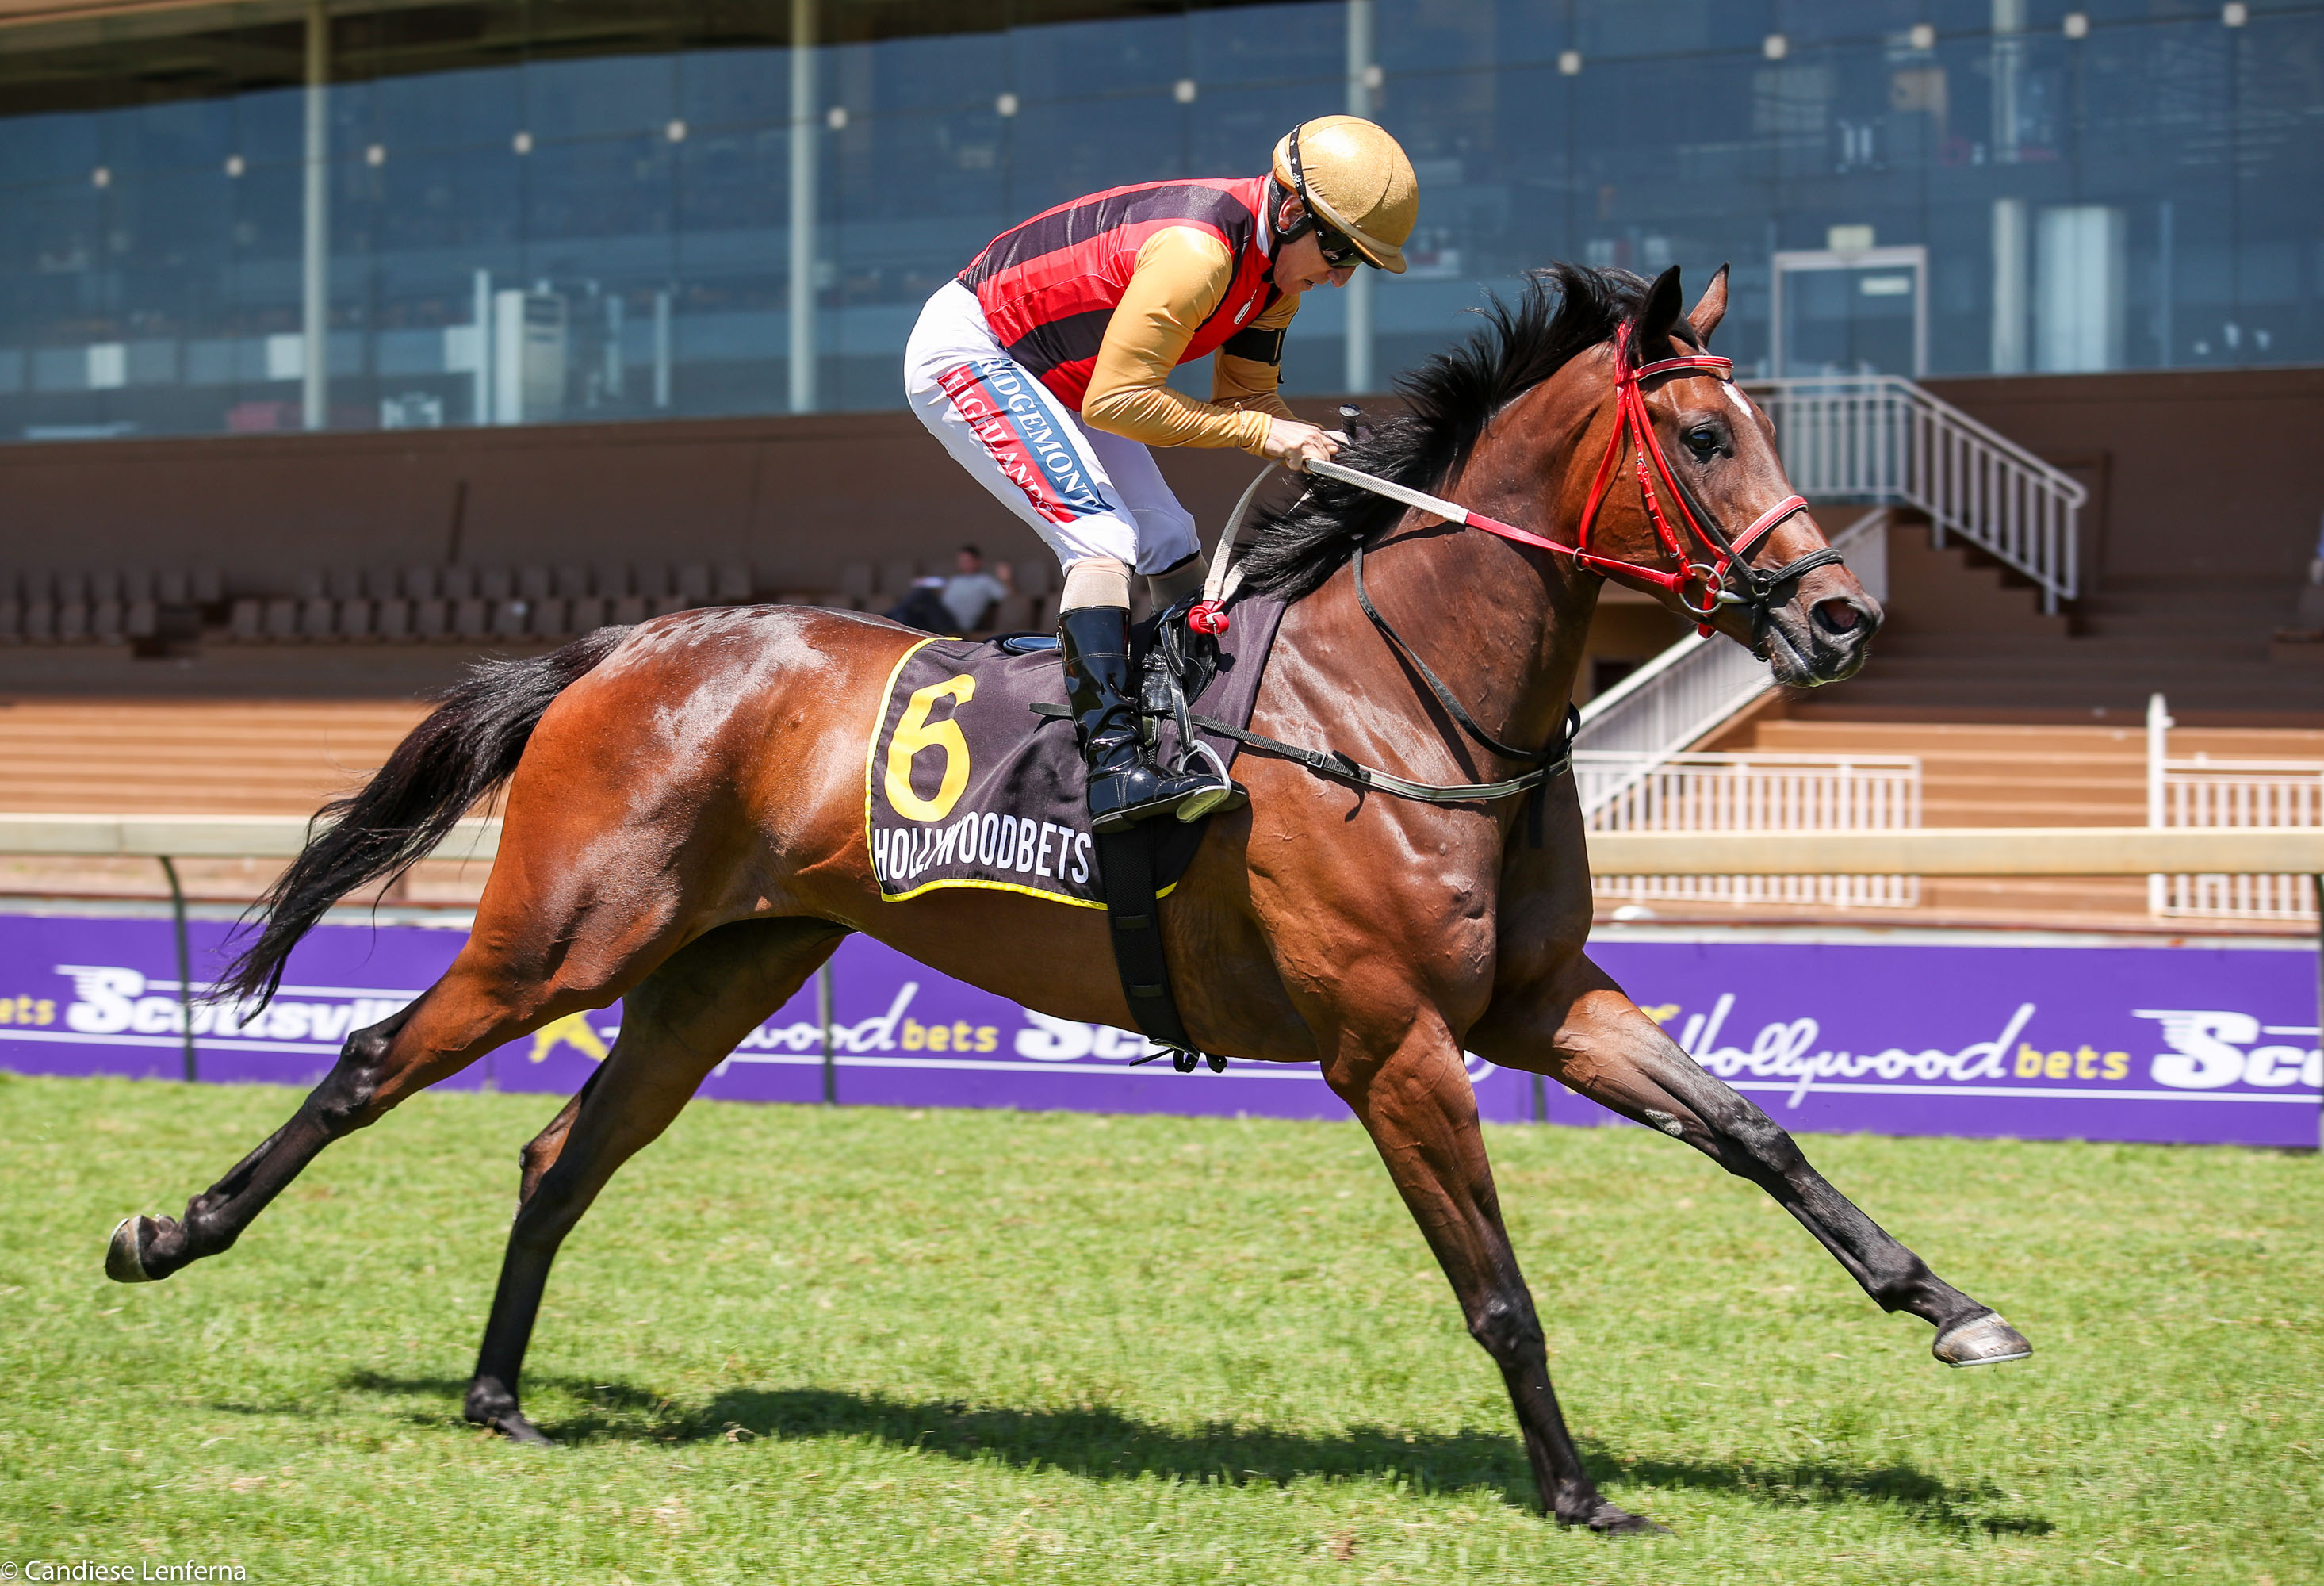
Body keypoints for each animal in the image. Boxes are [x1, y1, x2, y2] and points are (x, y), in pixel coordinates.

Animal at [103, 263, 2028, 1534]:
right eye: (1702, 431)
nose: (1841, 616)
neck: (1404, 697)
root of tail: (627, 645)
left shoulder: (1538, 1001)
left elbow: (1755, 1133)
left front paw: (1952, 1308)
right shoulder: (1390, 1041)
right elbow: (1495, 1281)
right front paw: (1572, 1488)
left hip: (723, 967)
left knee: (559, 1154)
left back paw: (502, 1395)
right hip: (566, 934)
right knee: (373, 1061)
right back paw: (167, 1237)